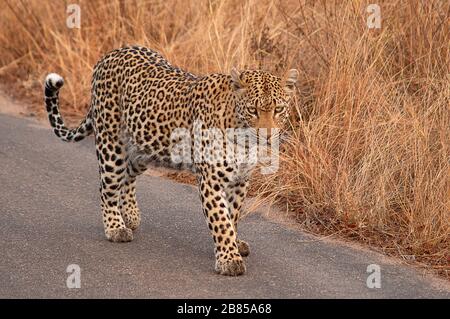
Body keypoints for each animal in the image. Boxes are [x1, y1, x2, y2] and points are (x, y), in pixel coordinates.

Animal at [44, 45, 298, 278]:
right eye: (253, 110)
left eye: (279, 109)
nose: (267, 136)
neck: (243, 139)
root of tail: (110, 53)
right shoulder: (211, 181)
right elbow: (221, 221)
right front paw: (229, 259)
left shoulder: (240, 181)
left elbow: (232, 215)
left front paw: (234, 244)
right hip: (111, 144)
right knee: (107, 187)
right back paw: (116, 227)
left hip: (145, 147)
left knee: (127, 175)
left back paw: (130, 215)